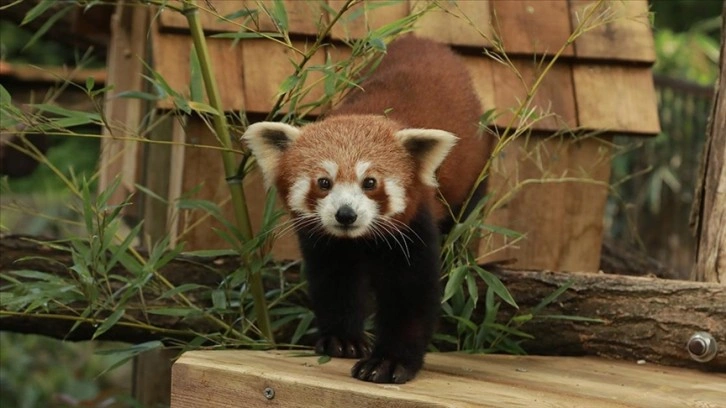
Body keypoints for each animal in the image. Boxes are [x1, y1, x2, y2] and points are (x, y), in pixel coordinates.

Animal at [243, 35, 490, 382]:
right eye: (324, 182)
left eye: (370, 182)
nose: (346, 214)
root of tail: (423, 40)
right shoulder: (324, 241)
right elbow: (335, 283)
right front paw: (342, 339)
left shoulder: (413, 225)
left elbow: (410, 293)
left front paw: (389, 362)